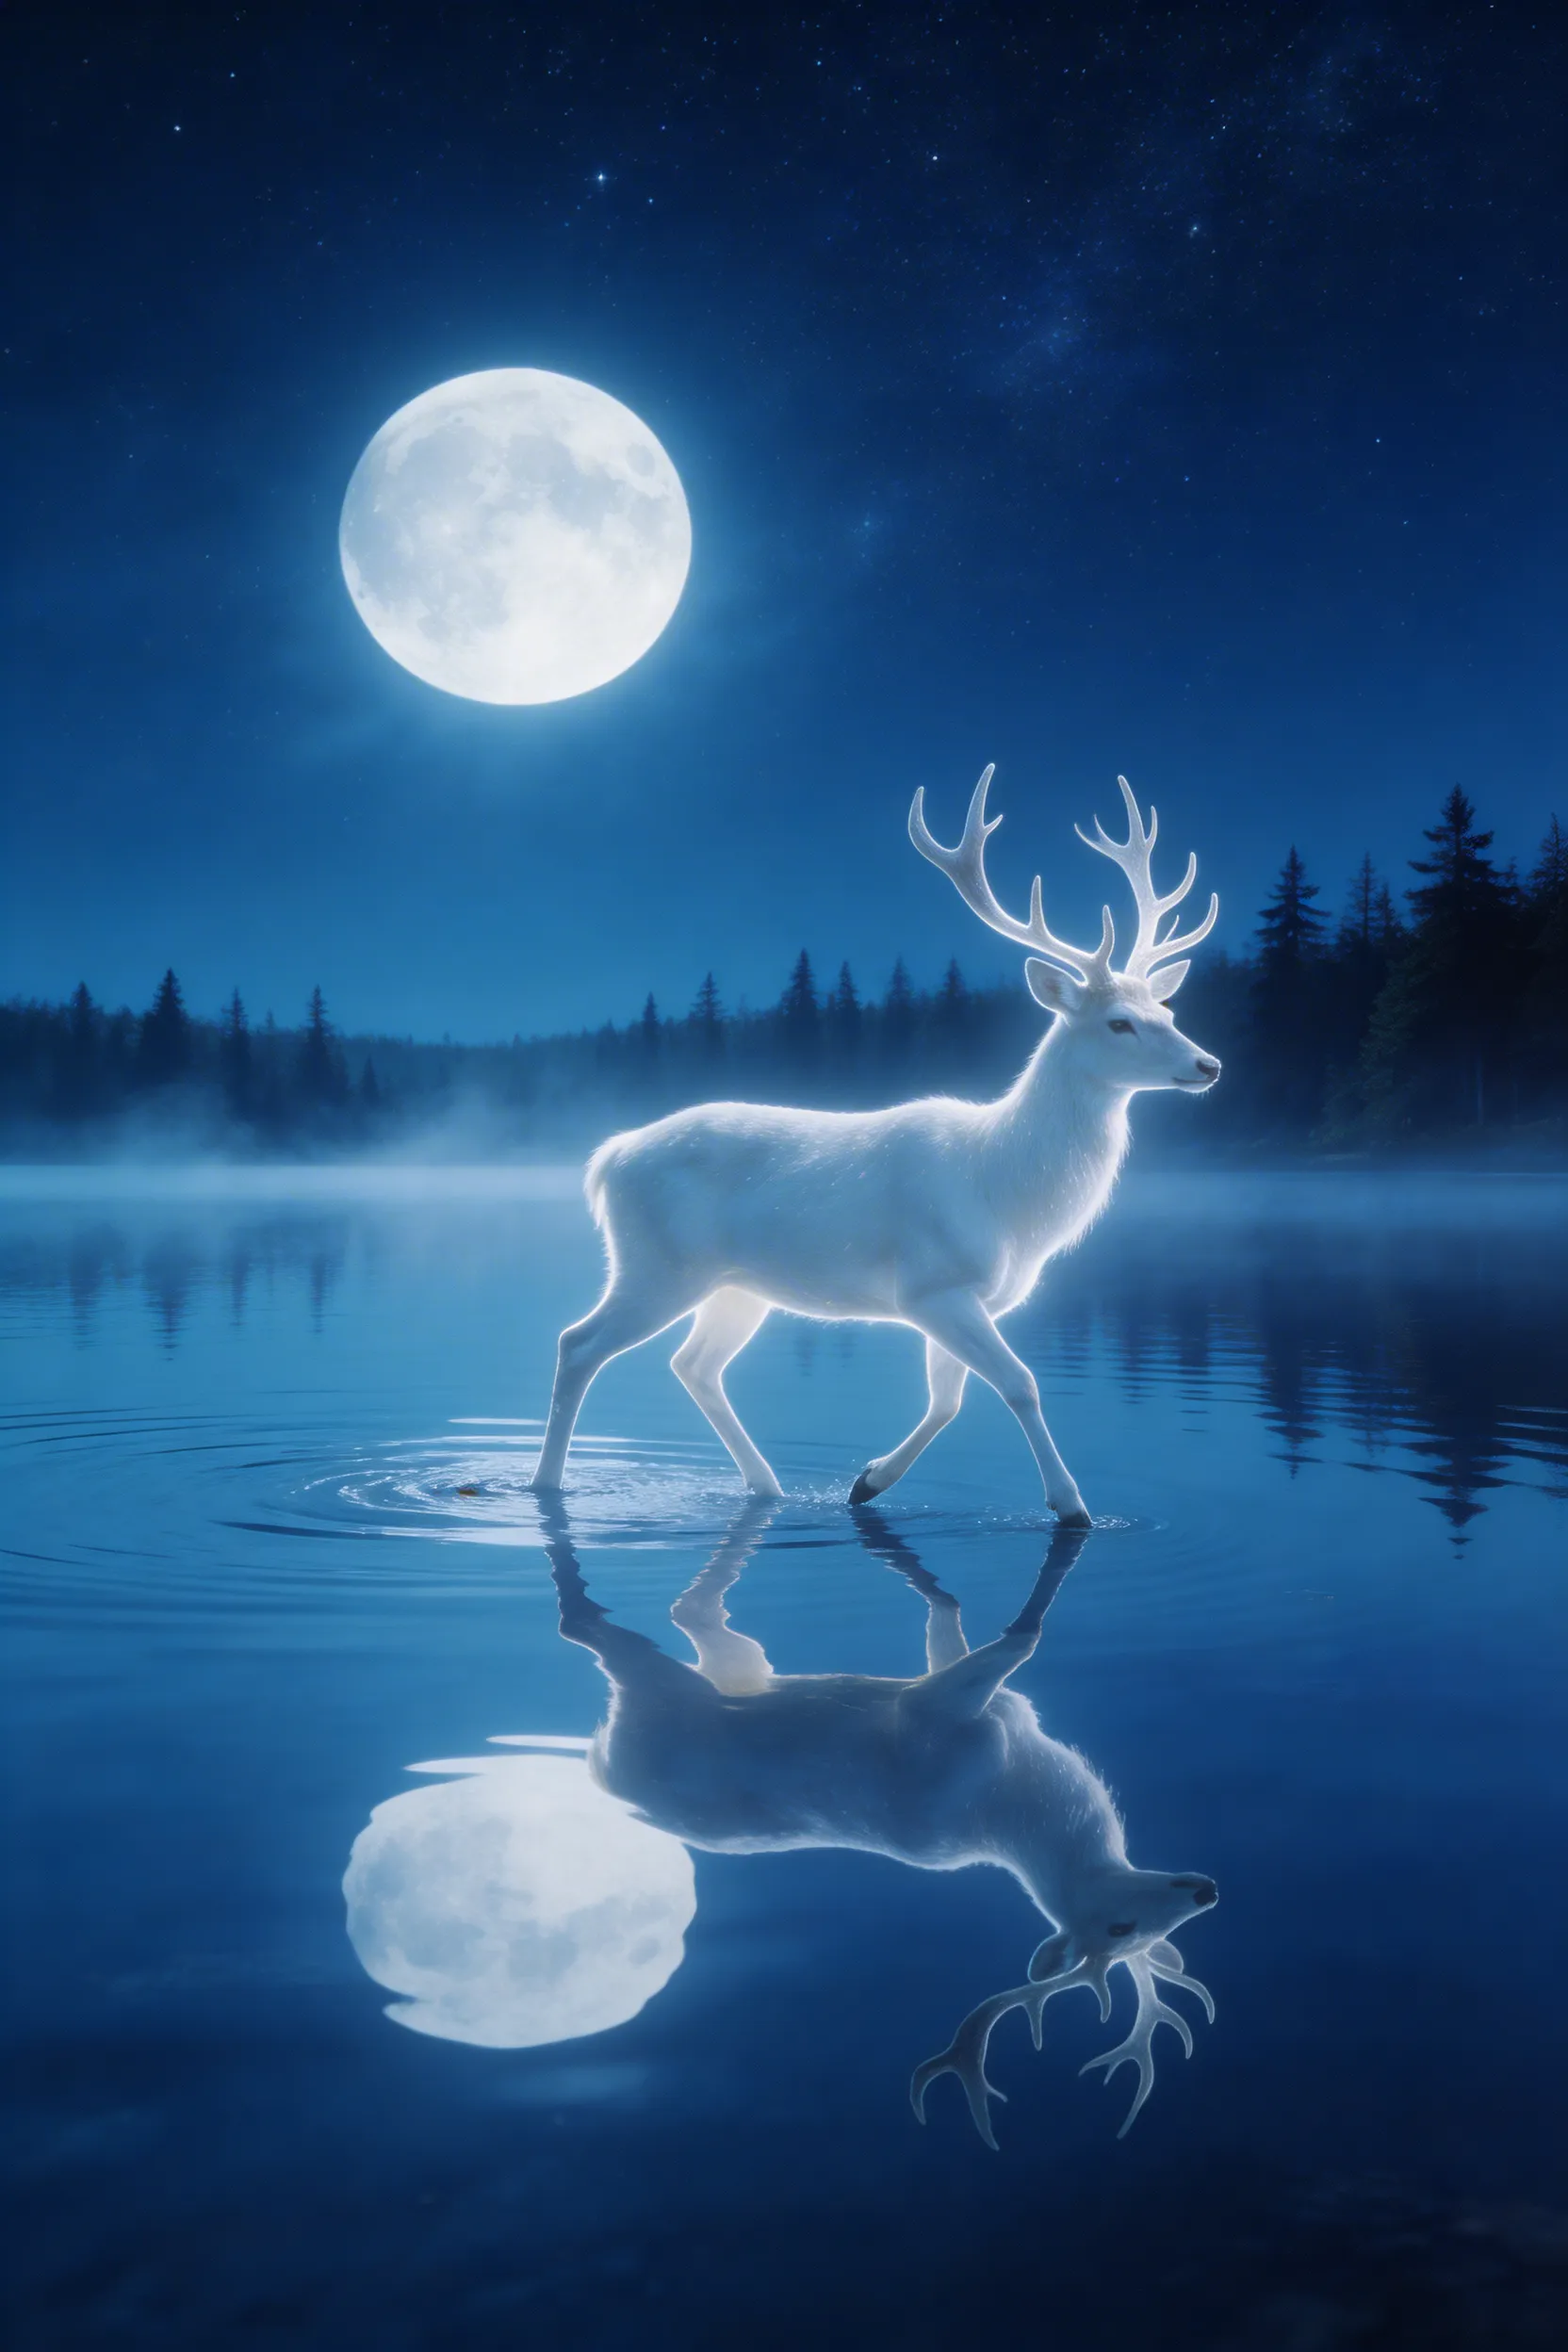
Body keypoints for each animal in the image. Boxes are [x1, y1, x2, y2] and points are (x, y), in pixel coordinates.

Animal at [530, 769, 1220, 1519]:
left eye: (1168, 1009)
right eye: (1120, 1022)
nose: (1209, 1064)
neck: (1009, 1193)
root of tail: (607, 1159)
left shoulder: (963, 1298)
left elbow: (948, 1401)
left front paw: (867, 1481)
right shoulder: (933, 1284)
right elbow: (1020, 1384)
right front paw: (1072, 1505)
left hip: (736, 1285)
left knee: (694, 1364)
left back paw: (768, 1485)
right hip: (656, 1263)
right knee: (577, 1343)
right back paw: (544, 1484)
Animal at [544, 1504, 1218, 2144]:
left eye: (1143, 1941)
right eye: (1118, 1928)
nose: (1206, 1891)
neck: (1019, 1785)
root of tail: (603, 1763)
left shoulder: (957, 1705)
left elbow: (963, 1635)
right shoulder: (932, 1714)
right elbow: (1018, 1637)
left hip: (715, 1675)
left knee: (677, 1620)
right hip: (662, 1693)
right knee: (591, 1627)